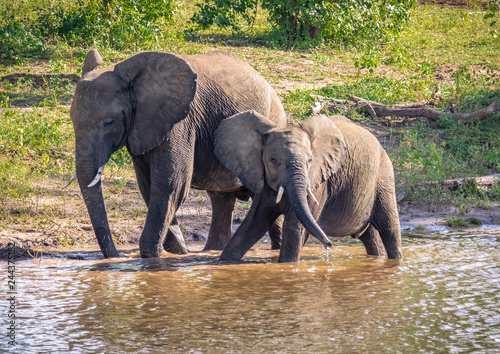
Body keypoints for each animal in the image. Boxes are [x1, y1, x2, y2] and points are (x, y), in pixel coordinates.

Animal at [72, 49, 288, 258]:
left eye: (109, 122)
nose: (116, 256)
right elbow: (148, 186)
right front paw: (179, 249)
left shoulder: (179, 123)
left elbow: (171, 185)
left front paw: (154, 256)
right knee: (221, 199)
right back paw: (212, 251)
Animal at [215, 112, 402, 262]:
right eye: (273, 160)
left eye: (310, 160)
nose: (329, 244)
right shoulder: (264, 179)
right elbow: (254, 222)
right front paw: (223, 262)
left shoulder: (317, 182)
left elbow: (294, 227)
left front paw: (287, 265)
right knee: (369, 235)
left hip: (383, 175)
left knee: (389, 227)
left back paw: (396, 259)